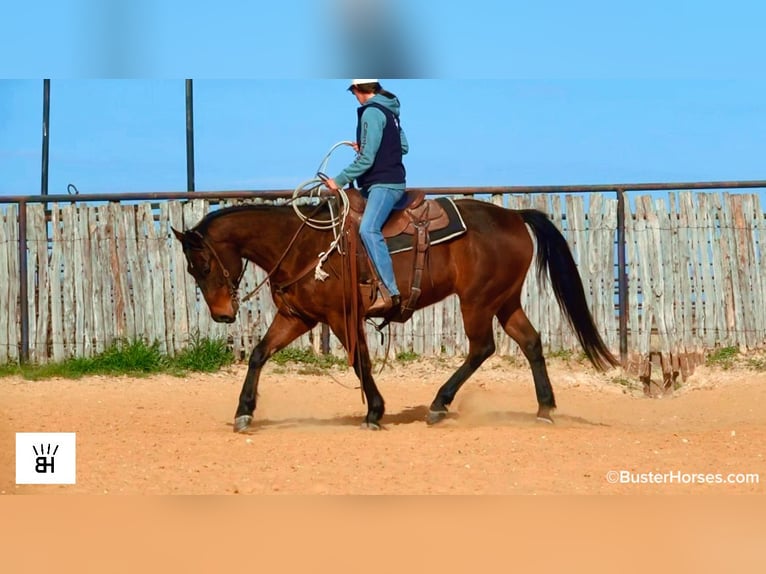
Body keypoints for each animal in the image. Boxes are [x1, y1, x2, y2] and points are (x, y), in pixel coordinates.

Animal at [172, 193, 618, 433]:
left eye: (204, 265)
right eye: (192, 269)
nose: (222, 315)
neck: (303, 245)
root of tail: (513, 215)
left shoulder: (341, 317)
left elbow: (361, 362)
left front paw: (374, 412)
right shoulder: (298, 317)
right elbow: (259, 354)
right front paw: (244, 412)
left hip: (477, 301)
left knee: (482, 348)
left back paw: (439, 404)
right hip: (504, 300)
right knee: (530, 342)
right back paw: (544, 409)